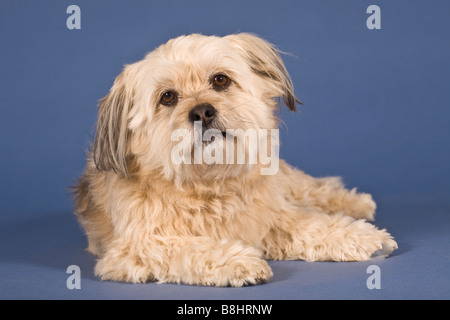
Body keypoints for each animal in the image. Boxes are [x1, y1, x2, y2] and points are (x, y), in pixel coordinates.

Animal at [74, 33, 398, 288]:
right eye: (167, 97)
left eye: (220, 80)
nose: (202, 112)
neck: (209, 183)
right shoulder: (137, 248)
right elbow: (190, 248)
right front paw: (237, 261)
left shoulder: (271, 216)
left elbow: (312, 224)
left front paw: (359, 236)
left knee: (307, 189)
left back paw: (353, 203)